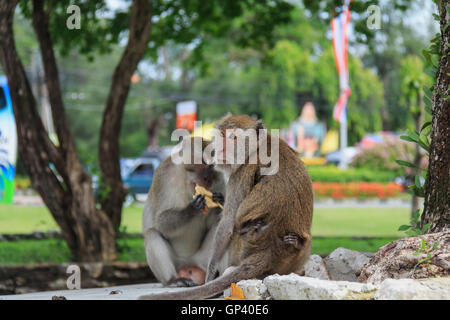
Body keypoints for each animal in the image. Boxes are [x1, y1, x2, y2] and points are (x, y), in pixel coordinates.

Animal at [144, 136, 227, 286]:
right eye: (202, 163)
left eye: (211, 166)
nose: (207, 179)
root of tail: (188, 263)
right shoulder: (165, 174)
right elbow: (161, 221)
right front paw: (192, 208)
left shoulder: (220, 180)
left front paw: (220, 201)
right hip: (177, 262)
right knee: (152, 233)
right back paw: (173, 279)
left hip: (203, 260)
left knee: (222, 227)